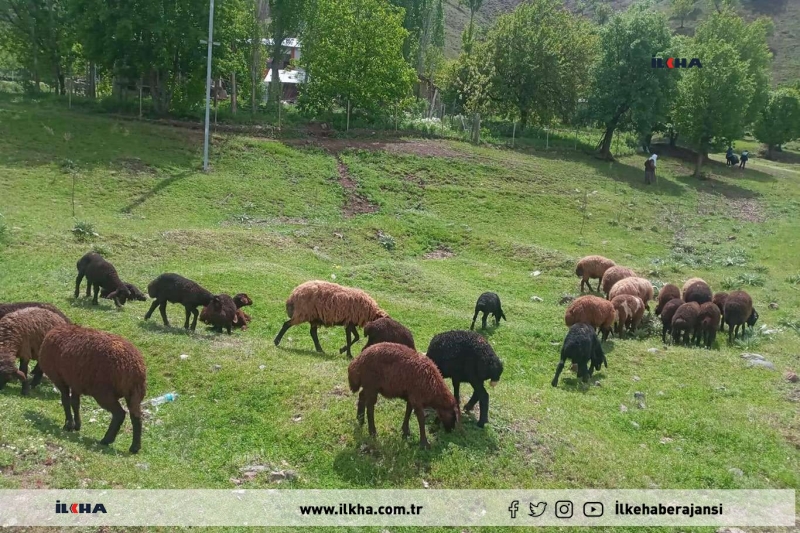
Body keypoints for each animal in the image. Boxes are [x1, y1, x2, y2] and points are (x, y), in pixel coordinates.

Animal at [38, 324, 147, 454]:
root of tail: (133, 367)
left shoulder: (60, 379)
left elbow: (65, 401)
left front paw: (69, 425)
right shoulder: (75, 382)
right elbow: (75, 402)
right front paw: (77, 425)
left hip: (104, 392)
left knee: (119, 414)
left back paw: (106, 440)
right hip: (134, 393)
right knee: (136, 417)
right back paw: (135, 447)